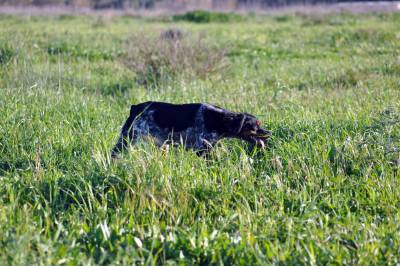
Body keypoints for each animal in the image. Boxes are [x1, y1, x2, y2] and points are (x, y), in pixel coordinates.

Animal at [111, 101, 270, 157]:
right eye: (256, 126)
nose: (269, 132)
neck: (217, 119)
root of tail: (135, 108)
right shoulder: (202, 149)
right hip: (127, 140)